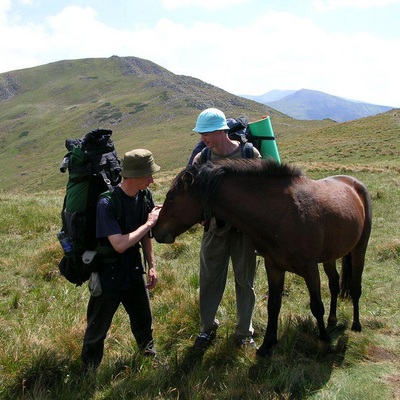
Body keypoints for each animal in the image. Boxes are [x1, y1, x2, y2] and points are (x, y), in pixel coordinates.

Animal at [152, 159, 372, 356]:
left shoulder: (310, 269)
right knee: (334, 284)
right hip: (329, 257)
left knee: (355, 286)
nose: (156, 231)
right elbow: (273, 305)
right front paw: (267, 344)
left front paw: (325, 340)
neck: (281, 215)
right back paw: (332, 321)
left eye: (171, 197)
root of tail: (354, 183)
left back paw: (356, 324)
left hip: (359, 249)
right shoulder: (273, 267)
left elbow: (316, 306)